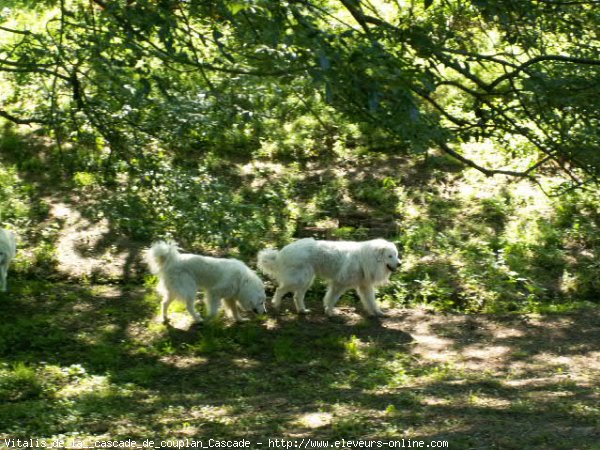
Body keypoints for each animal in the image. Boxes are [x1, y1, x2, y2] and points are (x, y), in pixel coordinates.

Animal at [256, 239, 398, 316]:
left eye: (396, 255)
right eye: (390, 256)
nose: (400, 263)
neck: (366, 258)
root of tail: (281, 253)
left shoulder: (365, 286)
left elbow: (371, 301)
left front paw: (378, 313)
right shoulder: (339, 283)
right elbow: (331, 299)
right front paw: (329, 311)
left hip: (306, 280)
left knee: (297, 296)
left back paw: (302, 310)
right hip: (299, 279)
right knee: (280, 290)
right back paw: (276, 304)